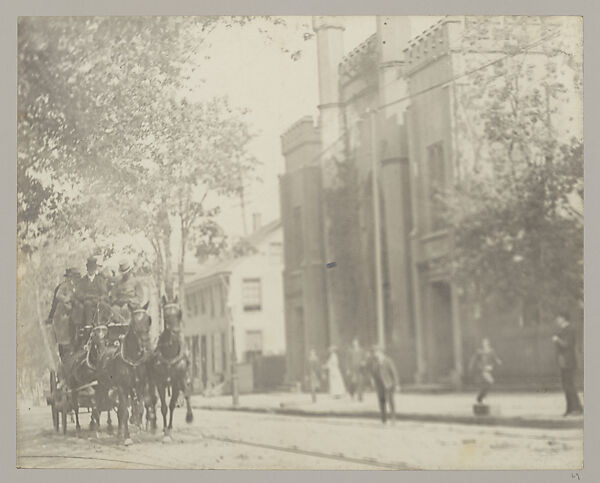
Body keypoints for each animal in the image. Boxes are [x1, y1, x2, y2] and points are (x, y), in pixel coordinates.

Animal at [96, 302, 155, 446]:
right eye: (133, 322)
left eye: (148, 320)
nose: (146, 343)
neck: (132, 359)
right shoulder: (122, 387)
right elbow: (125, 412)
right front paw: (127, 437)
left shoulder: (140, 385)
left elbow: (140, 408)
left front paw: (137, 424)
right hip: (103, 386)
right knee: (99, 406)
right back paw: (97, 430)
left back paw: (119, 434)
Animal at [149, 294, 192, 438]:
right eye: (166, 315)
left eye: (179, 313)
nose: (176, 331)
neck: (169, 352)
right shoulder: (160, 382)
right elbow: (163, 407)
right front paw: (165, 429)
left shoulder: (178, 380)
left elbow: (179, 399)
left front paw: (188, 417)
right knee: (153, 401)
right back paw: (156, 425)